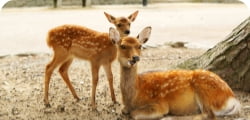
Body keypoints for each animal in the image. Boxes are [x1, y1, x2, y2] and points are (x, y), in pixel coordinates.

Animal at [109, 26, 240, 119]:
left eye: (140, 46)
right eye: (122, 46)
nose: (135, 58)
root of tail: (232, 98)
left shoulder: (160, 105)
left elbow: (134, 114)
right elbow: (123, 110)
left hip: (206, 92)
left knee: (207, 115)